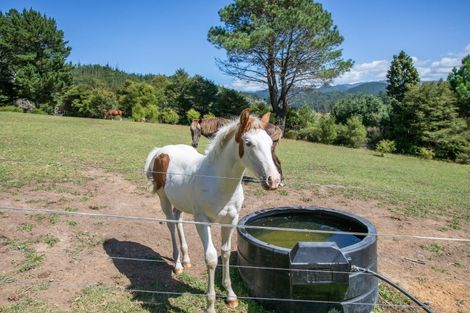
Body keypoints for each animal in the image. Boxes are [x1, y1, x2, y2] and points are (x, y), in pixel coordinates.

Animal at [145, 108, 280, 310]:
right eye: (248, 143)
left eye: (271, 143)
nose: (274, 180)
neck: (219, 182)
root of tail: (160, 151)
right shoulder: (202, 221)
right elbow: (211, 258)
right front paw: (210, 305)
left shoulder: (231, 220)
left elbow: (225, 253)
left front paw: (230, 295)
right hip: (164, 199)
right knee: (170, 224)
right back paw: (177, 264)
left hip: (180, 201)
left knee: (178, 220)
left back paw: (186, 260)